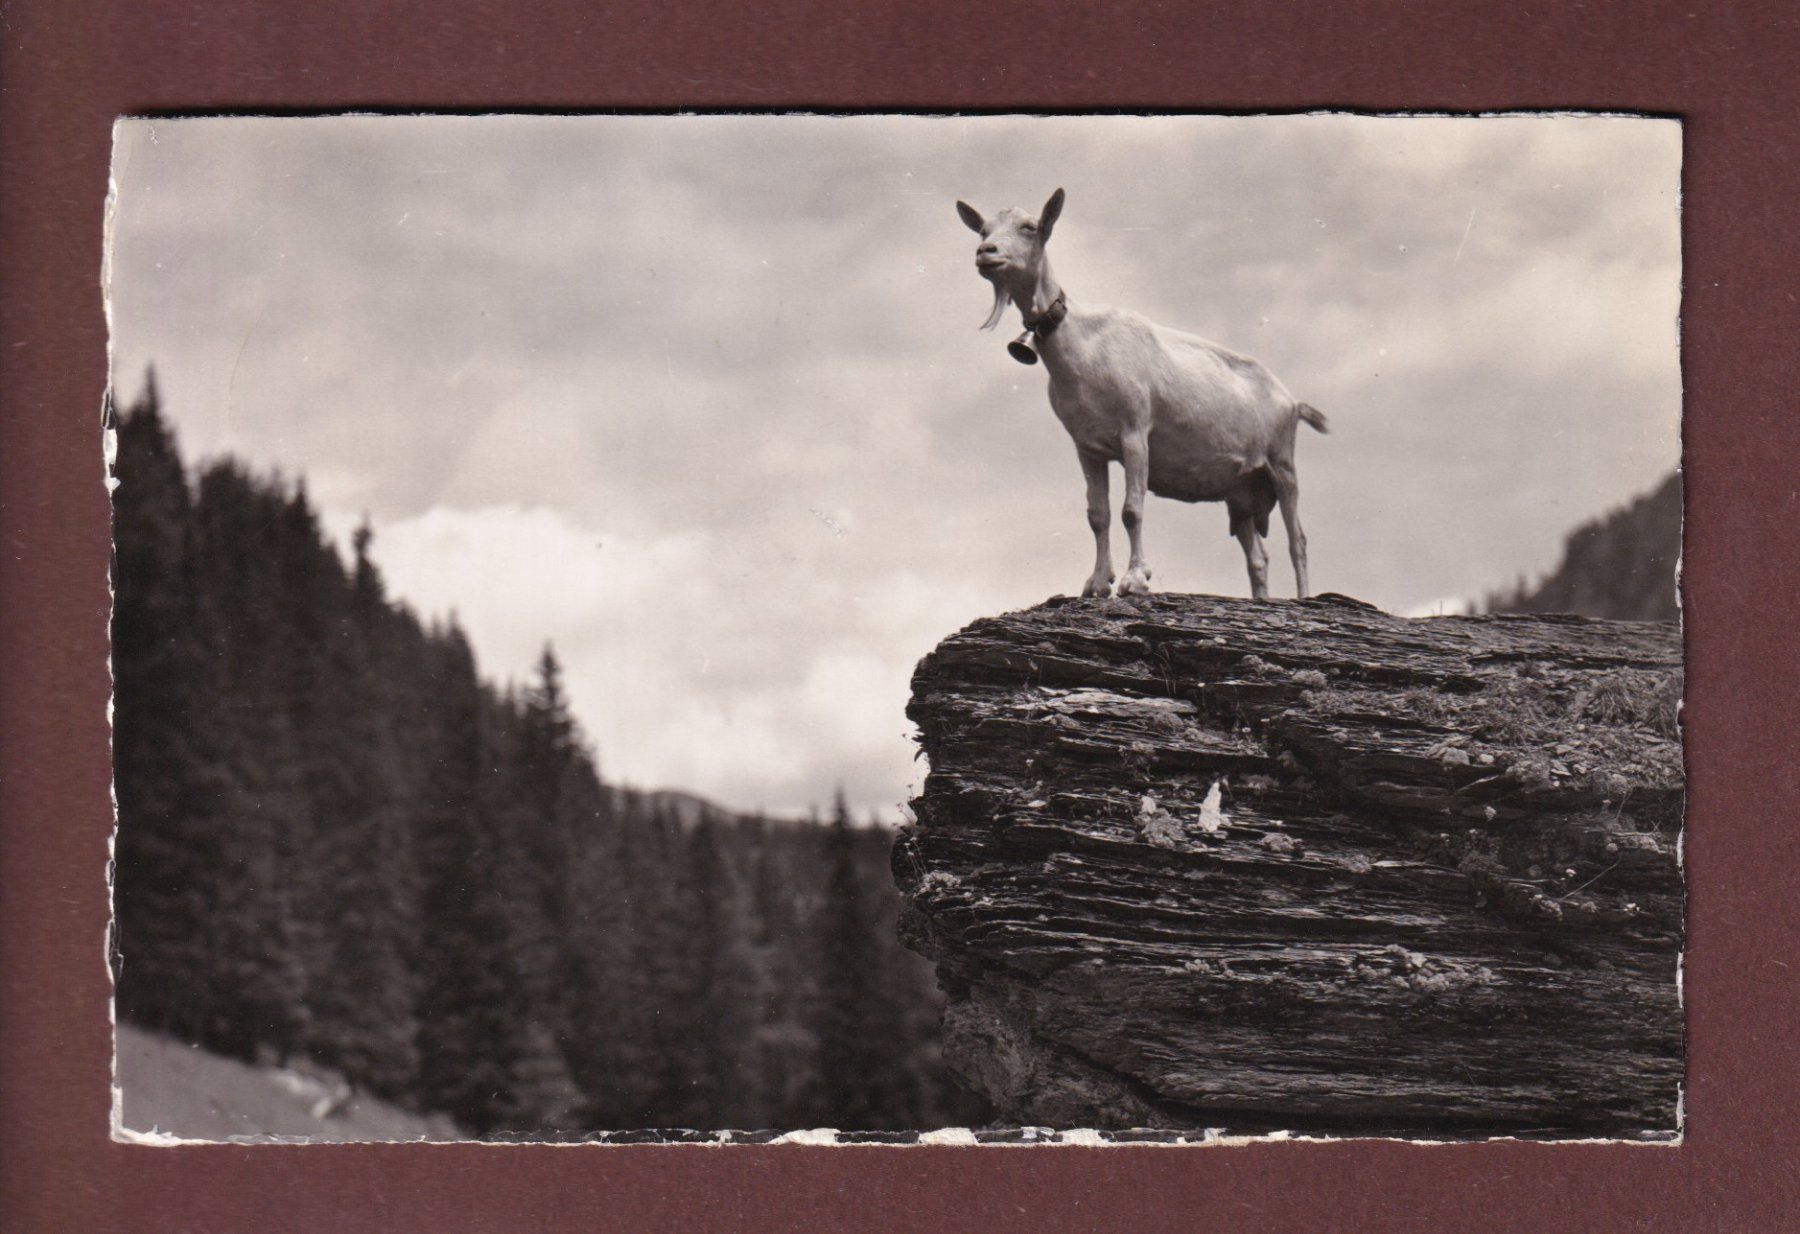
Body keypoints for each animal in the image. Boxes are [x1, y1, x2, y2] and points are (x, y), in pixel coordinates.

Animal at [957, 189, 1329, 600]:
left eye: (1029, 227)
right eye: (984, 229)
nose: (986, 252)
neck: (1084, 347)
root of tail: (1292, 401)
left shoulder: (1134, 430)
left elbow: (1131, 509)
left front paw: (1135, 579)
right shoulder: (1087, 446)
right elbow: (1097, 515)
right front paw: (1097, 582)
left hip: (1282, 463)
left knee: (1298, 539)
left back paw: (1304, 598)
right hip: (1241, 491)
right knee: (1258, 557)